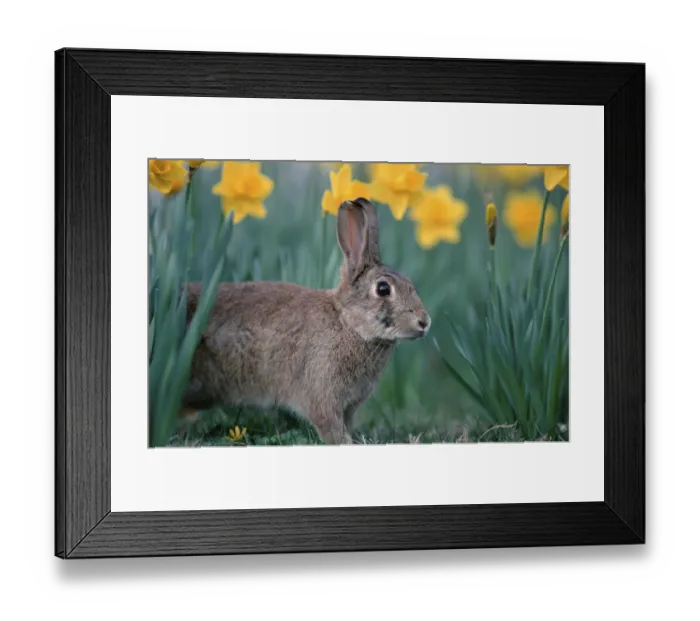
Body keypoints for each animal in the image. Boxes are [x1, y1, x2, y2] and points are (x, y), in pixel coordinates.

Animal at [181, 198, 431, 444]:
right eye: (383, 289)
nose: (424, 322)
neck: (348, 323)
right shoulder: (323, 396)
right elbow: (331, 428)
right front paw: (345, 443)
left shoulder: (348, 407)